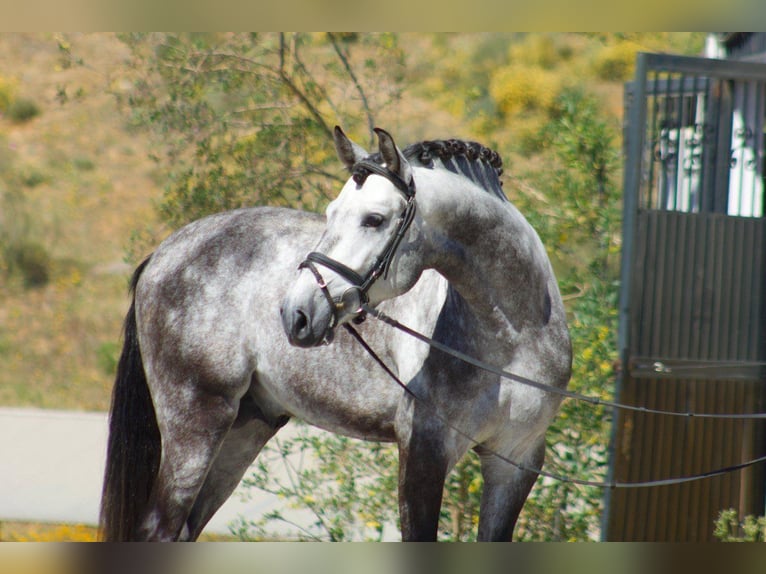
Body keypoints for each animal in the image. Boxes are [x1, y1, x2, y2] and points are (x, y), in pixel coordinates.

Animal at [100, 126, 571, 542]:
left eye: (374, 219)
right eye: (330, 213)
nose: (297, 313)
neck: (512, 340)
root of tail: (165, 253)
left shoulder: (515, 462)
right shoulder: (424, 453)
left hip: (244, 429)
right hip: (196, 425)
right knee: (158, 529)